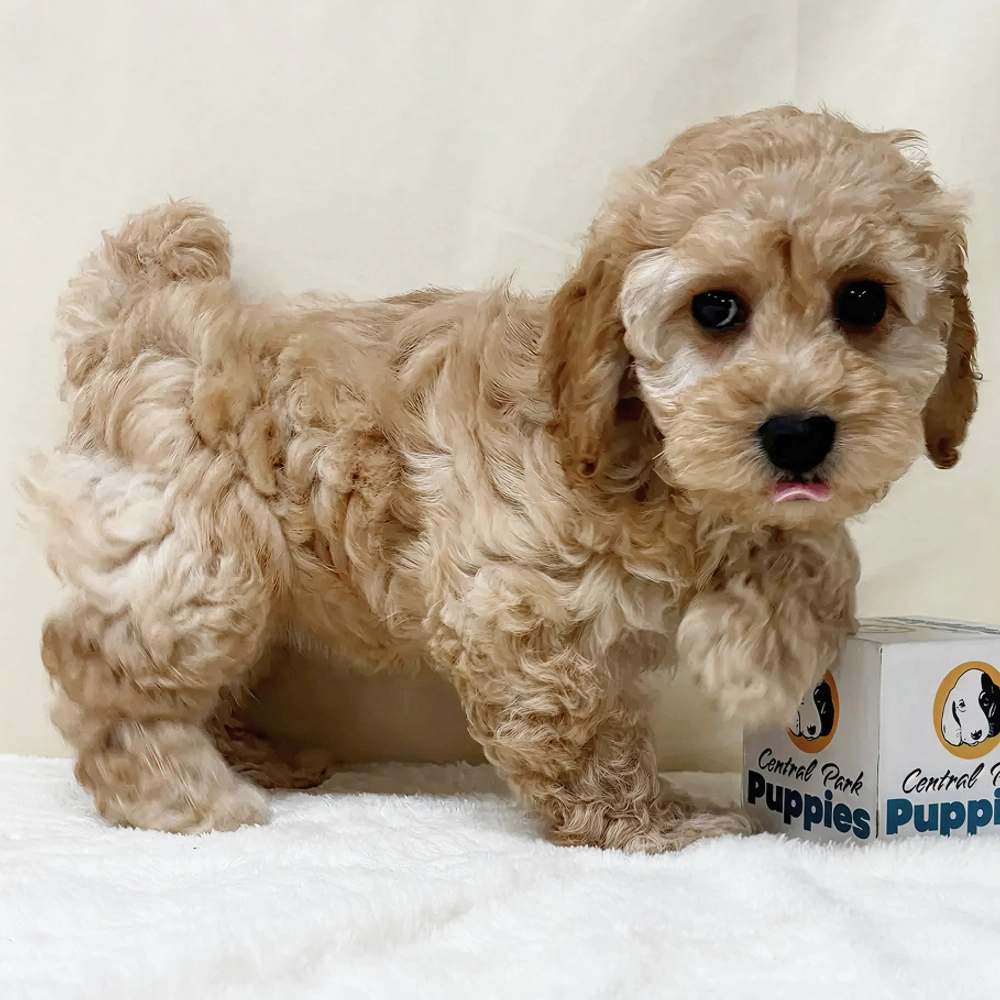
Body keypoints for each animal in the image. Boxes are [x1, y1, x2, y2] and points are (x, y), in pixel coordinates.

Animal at [23, 106, 979, 851]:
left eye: (863, 301)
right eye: (716, 309)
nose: (797, 434)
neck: (644, 456)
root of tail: (135, 320)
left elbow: (820, 549)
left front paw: (763, 648)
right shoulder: (519, 604)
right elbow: (586, 728)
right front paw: (652, 822)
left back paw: (255, 757)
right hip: (197, 559)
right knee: (102, 665)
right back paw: (181, 794)